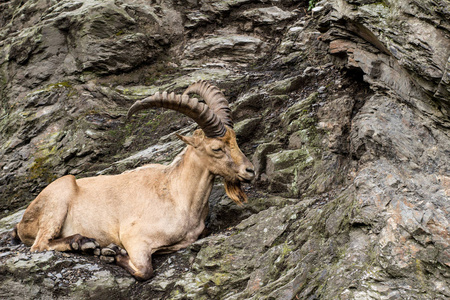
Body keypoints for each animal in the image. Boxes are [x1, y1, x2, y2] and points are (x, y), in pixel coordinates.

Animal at [13, 81, 253, 280]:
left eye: (234, 140)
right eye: (216, 148)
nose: (249, 170)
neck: (177, 194)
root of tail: (21, 222)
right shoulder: (134, 237)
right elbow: (144, 271)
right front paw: (110, 253)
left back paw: (82, 243)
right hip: (59, 196)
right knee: (40, 245)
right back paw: (84, 243)